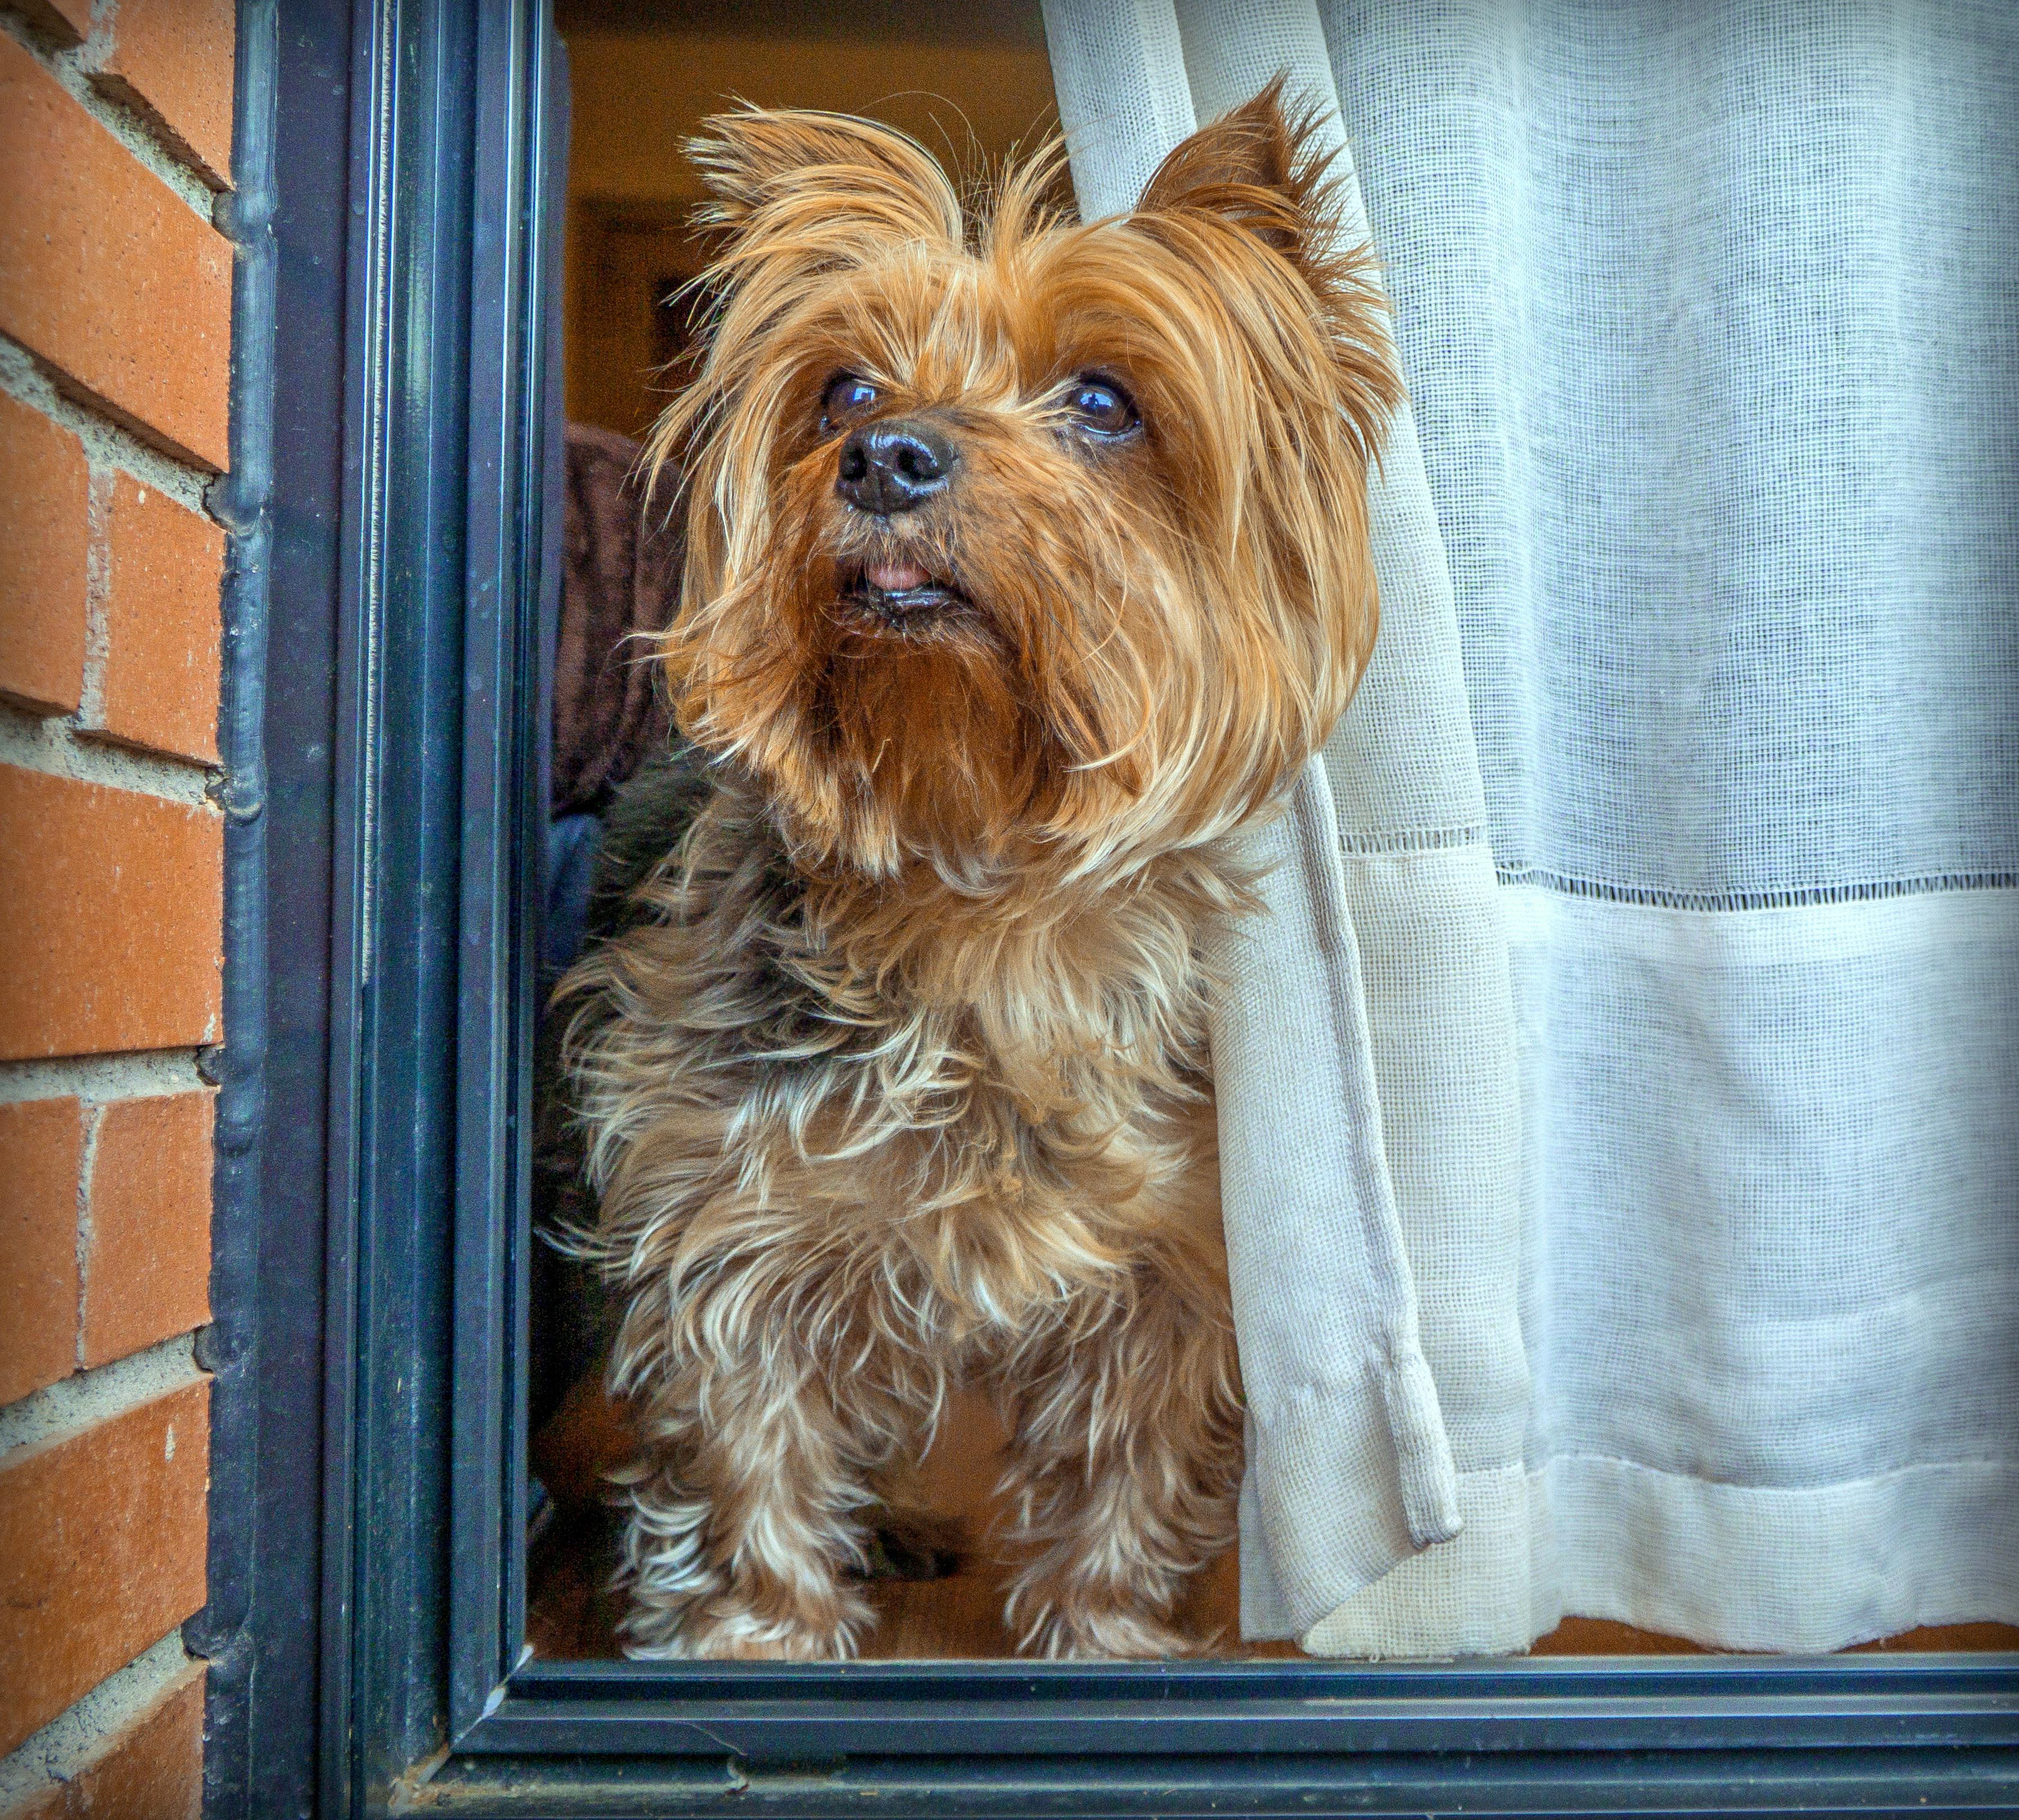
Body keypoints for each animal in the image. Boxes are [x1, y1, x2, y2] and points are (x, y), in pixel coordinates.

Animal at [561, 78, 1397, 1656]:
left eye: (1104, 402)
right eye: (843, 393)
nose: (887, 456)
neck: (982, 886)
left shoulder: (1166, 1262)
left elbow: (1128, 1472)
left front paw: (1109, 1641)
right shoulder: (730, 1214)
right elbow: (749, 1455)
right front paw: (753, 1644)